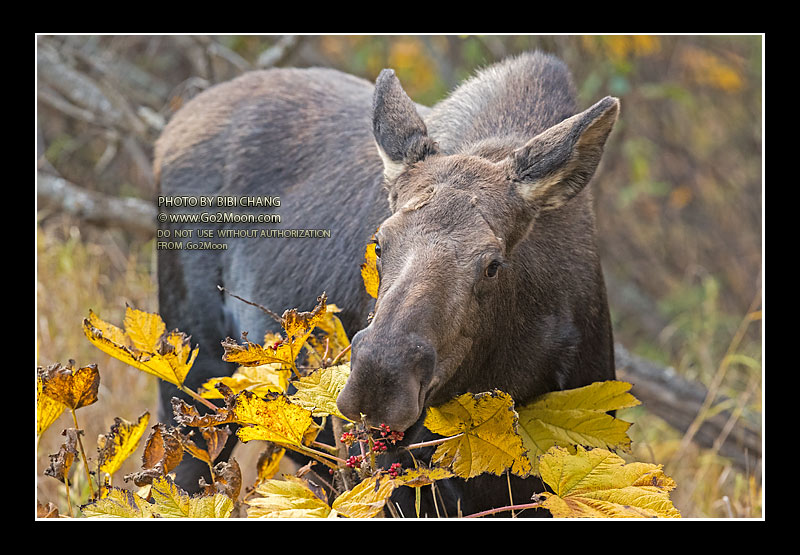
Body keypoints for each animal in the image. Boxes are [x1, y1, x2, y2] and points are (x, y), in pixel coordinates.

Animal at [155, 50, 620, 520]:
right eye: (379, 243)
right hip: (193, 386)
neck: (515, 373)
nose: (378, 382)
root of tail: (172, 128)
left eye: (493, 265)